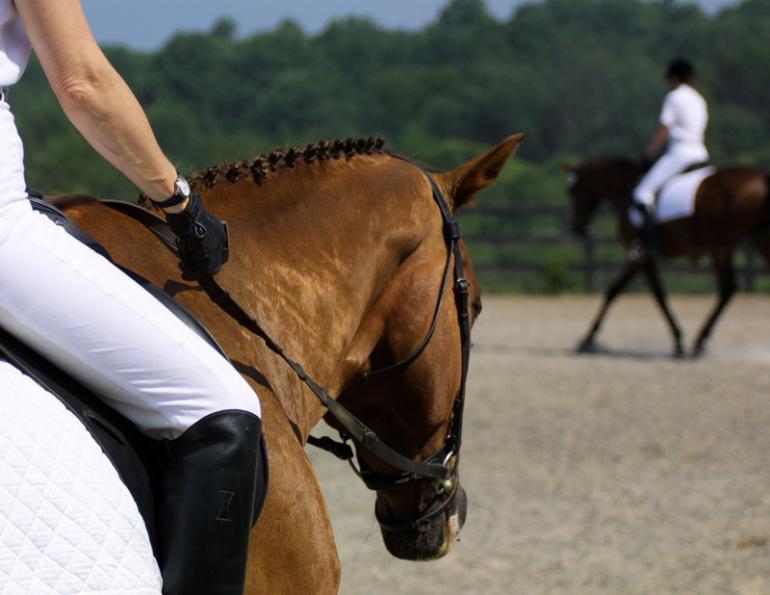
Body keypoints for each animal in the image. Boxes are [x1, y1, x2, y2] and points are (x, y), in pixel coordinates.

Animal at [563, 158, 770, 357]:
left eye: (573, 191)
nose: (578, 227)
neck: (625, 191)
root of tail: (761, 178)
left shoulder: (640, 256)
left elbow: (643, 293)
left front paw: (587, 340)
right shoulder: (641, 257)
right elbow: (621, 291)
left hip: (723, 245)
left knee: (727, 288)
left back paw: (698, 342)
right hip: (741, 242)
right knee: (728, 289)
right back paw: (700, 342)